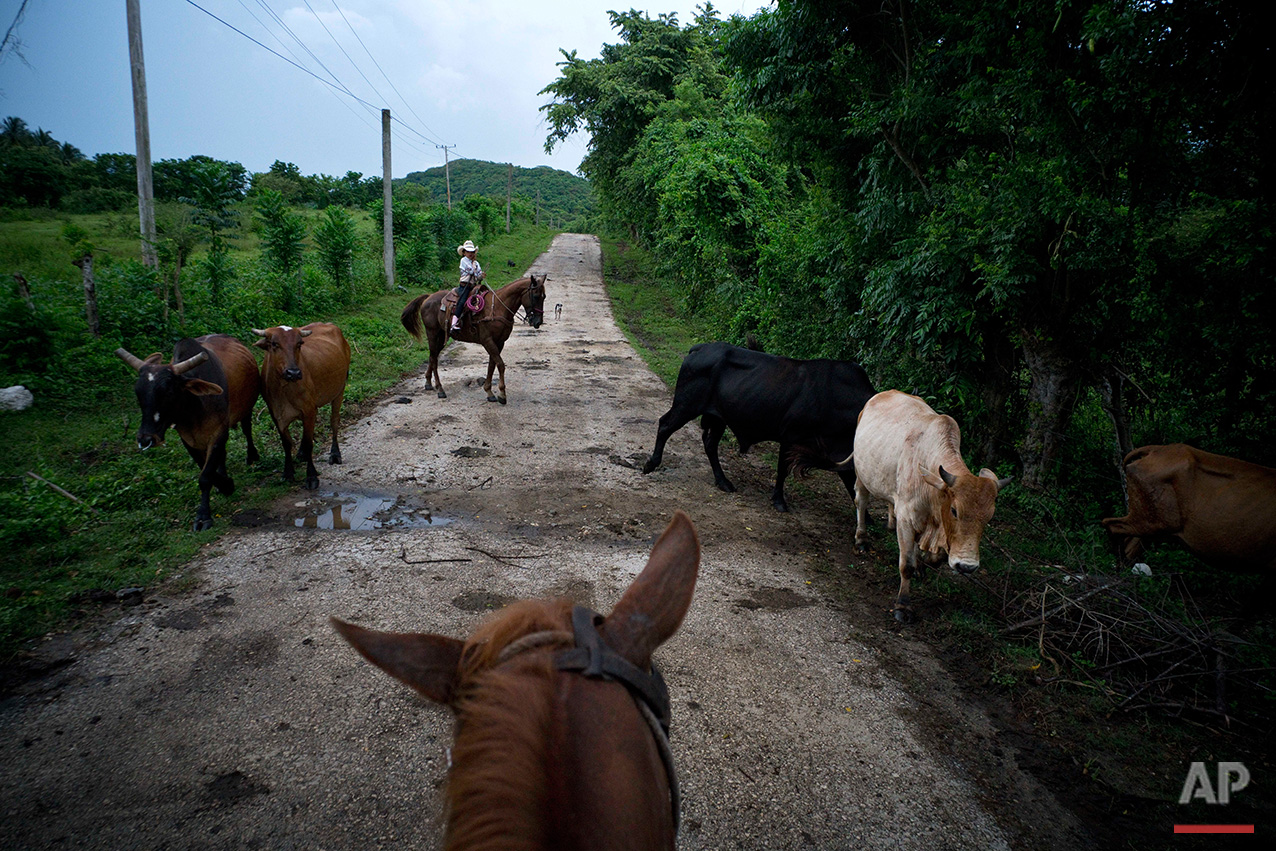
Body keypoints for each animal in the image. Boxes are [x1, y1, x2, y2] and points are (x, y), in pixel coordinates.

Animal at [116, 334, 260, 528]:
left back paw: (252, 456)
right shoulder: (188, 439)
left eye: (168, 392)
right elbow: (206, 470)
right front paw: (224, 484)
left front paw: (204, 516)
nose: (146, 438)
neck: (194, 407)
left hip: (246, 409)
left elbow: (205, 476)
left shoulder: (218, 432)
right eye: (138, 393)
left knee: (247, 430)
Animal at [251, 322, 352, 489]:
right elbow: (286, 443)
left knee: (334, 422)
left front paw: (311, 476)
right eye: (274, 344)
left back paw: (335, 454)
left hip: (340, 390)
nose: (293, 373)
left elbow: (308, 442)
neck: (283, 388)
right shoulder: (275, 414)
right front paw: (288, 472)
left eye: (299, 344)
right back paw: (301, 454)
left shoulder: (309, 410)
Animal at [643, 341, 872, 512]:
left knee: (709, 444)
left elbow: (851, 481)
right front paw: (779, 501)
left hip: (717, 418)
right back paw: (651, 464)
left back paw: (723, 481)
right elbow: (782, 470)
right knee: (665, 425)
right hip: (687, 404)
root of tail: (700, 348)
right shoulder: (791, 436)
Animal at [852, 390, 1010, 622]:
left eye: (989, 517)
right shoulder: (905, 519)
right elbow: (906, 565)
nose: (967, 566)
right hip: (862, 474)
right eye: (954, 510)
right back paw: (862, 539)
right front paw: (903, 605)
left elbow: (937, 556)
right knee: (861, 502)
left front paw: (924, 563)